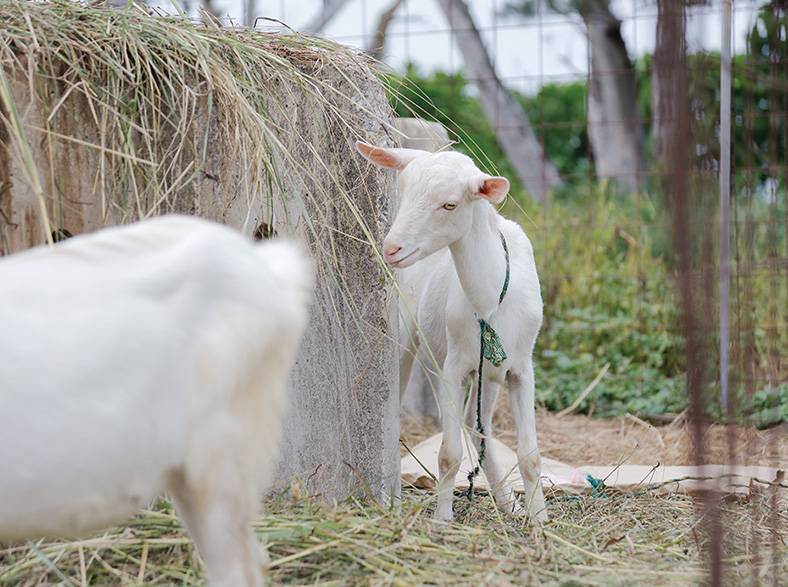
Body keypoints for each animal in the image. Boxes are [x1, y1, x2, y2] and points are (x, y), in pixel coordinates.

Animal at [358, 142, 548, 524]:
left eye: (450, 204)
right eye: (402, 191)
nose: (392, 248)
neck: (490, 300)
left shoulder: (521, 366)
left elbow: (530, 454)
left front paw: (539, 518)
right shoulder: (454, 366)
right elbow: (448, 453)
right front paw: (442, 520)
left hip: (491, 372)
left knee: (479, 427)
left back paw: (510, 504)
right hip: (410, 336)